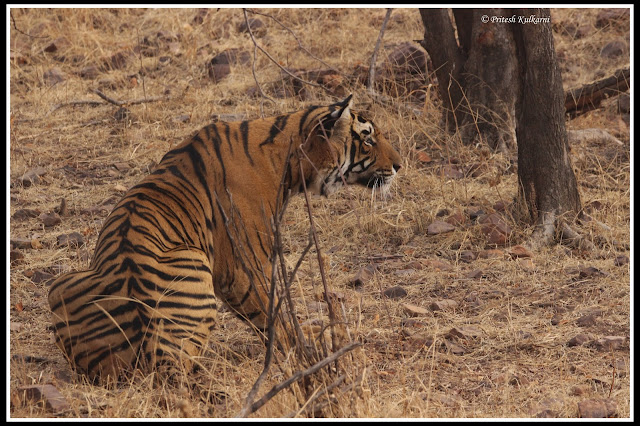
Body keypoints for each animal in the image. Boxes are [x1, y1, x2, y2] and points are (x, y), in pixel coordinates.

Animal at [48, 95, 400, 382]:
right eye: (368, 139)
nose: (399, 165)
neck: (288, 155)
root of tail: (150, 352)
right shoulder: (246, 264)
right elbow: (275, 314)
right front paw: (305, 348)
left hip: (61, 283)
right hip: (192, 263)